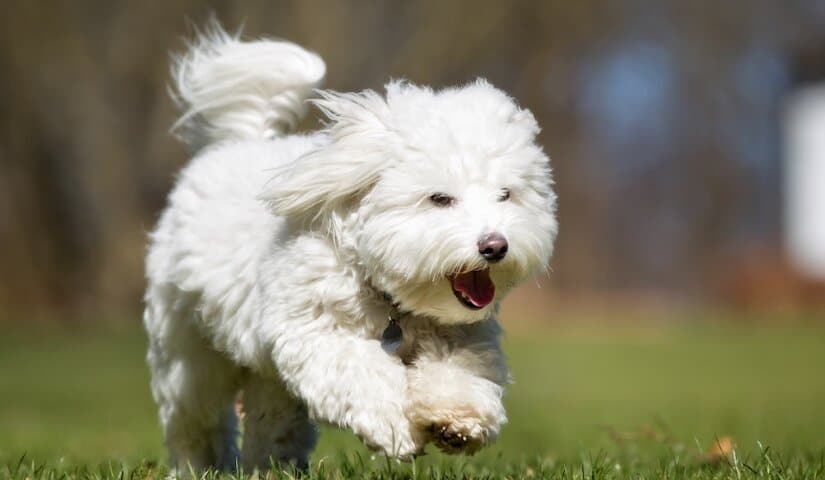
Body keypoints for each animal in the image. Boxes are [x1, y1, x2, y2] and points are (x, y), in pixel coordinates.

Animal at [143, 23, 560, 472]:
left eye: (506, 195)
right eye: (440, 198)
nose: (495, 246)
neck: (391, 300)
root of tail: (238, 143)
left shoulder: (463, 336)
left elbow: (460, 371)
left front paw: (457, 418)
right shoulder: (315, 332)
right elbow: (363, 374)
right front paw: (396, 427)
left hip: (265, 375)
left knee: (272, 415)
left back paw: (273, 465)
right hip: (188, 353)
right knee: (195, 417)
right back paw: (199, 465)